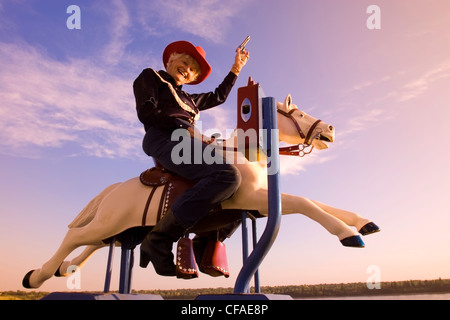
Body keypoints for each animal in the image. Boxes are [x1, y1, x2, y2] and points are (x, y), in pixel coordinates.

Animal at [22, 94, 380, 288]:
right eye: (298, 112)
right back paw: (36, 277)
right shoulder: (252, 200)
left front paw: (364, 222)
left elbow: (317, 201)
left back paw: (62, 269)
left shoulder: (259, 206)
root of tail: (114, 190)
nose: (329, 129)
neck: (244, 155)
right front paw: (348, 234)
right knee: (74, 238)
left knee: (89, 246)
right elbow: (306, 202)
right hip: (110, 223)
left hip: (121, 229)